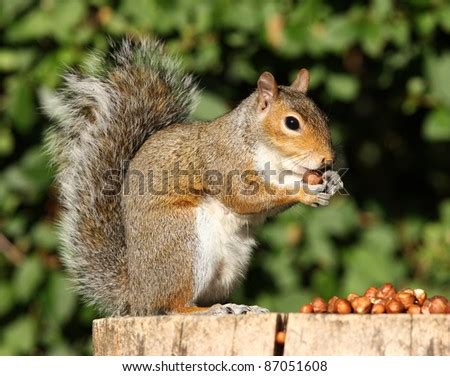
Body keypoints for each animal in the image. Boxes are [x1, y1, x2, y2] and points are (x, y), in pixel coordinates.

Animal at [44, 38, 342, 316]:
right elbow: (244, 198)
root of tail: (138, 296)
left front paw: (332, 181)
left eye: (324, 117)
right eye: (291, 123)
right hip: (184, 243)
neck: (269, 153)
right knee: (172, 306)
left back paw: (238, 307)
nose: (328, 158)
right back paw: (212, 310)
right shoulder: (224, 162)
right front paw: (304, 191)